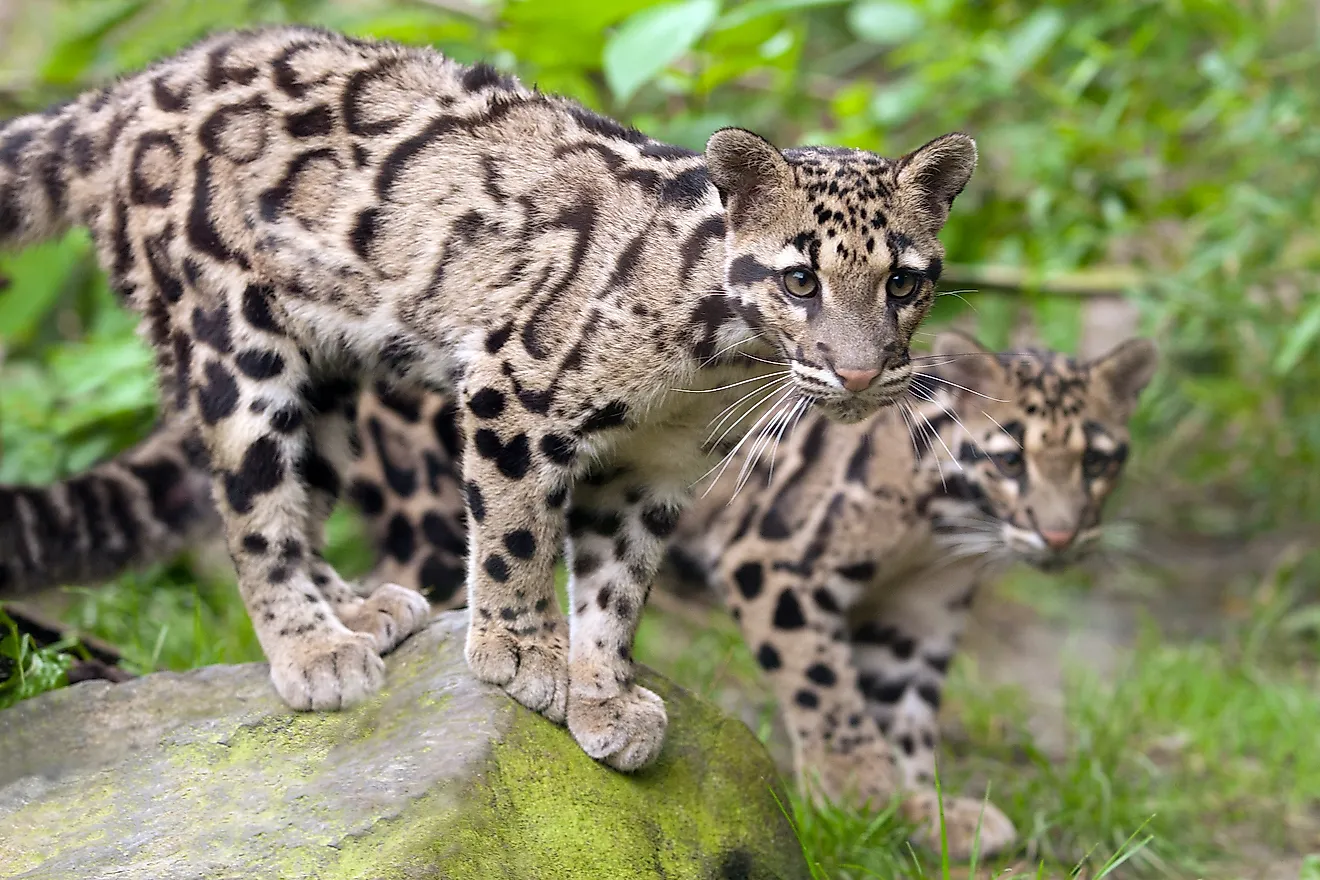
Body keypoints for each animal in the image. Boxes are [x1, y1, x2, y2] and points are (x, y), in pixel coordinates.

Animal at [0, 25, 976, 770]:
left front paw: (603, 694)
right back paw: (313, 648)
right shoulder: (516, 392)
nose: (860, 374)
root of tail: (136, 87)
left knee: (304, 489)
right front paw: (518, 651)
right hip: (234, 340)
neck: (714, 368)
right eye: (801, 280)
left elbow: (618, 590)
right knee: (252, 509)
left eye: (903, 282)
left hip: (331, 373)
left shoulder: (651, 471)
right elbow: (517, 535)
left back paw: (354, 607)